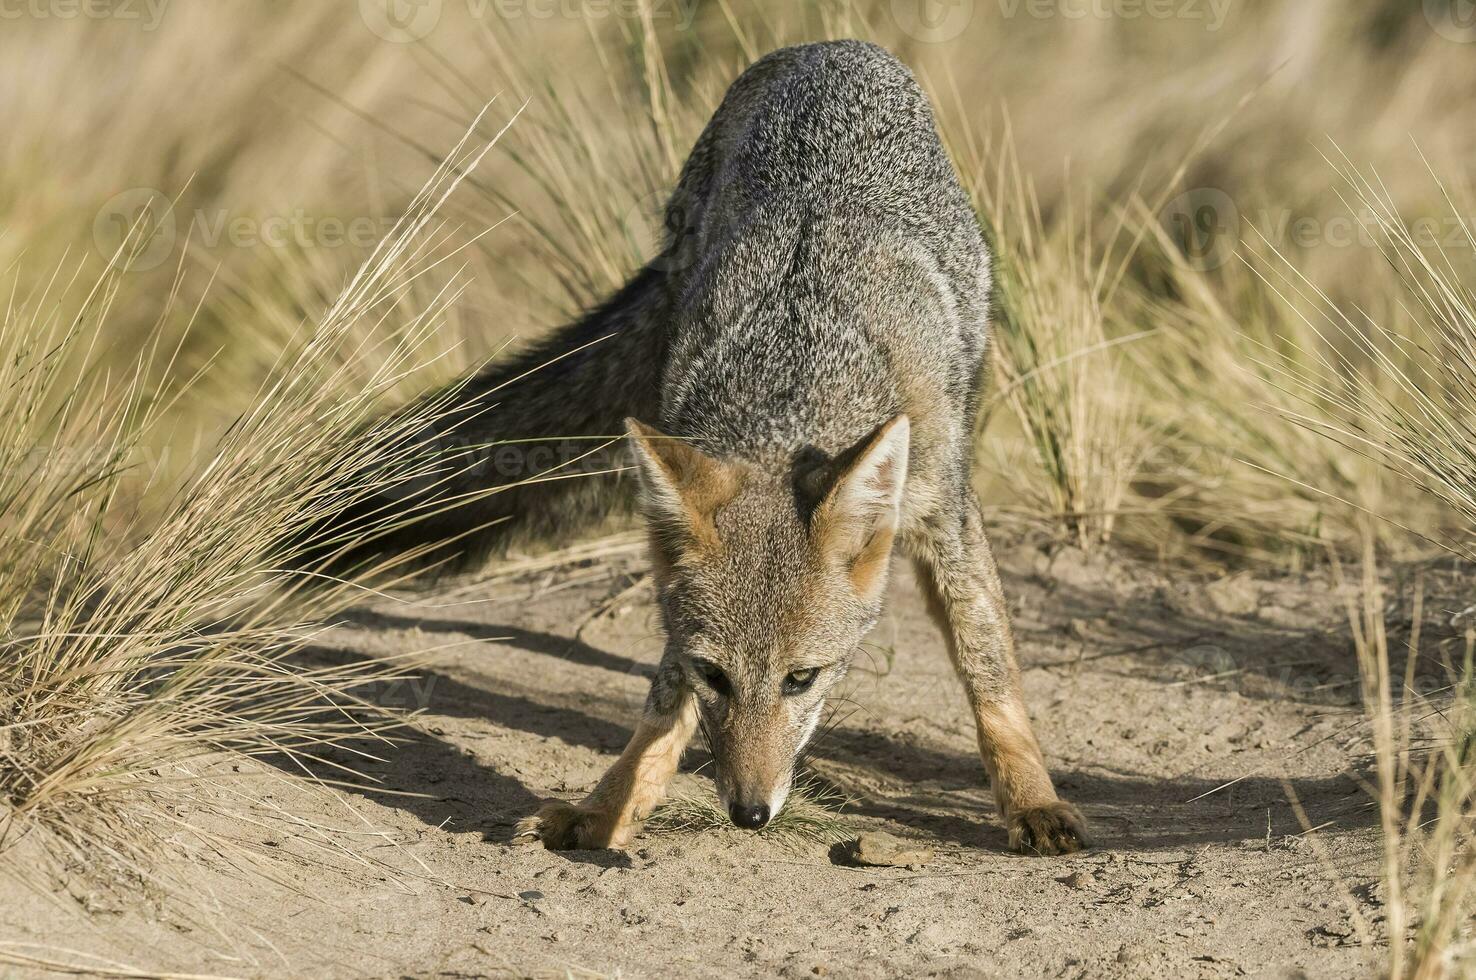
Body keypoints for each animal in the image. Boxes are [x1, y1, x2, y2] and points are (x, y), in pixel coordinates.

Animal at [311, 38, 1086, 856]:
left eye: (803, 679)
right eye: (715, 675)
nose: (750, 812)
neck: (796, 379)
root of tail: (826, 48)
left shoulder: (944, 510)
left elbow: (987, 667)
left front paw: (1032, 799)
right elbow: (660, 708)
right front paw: (608, 805)